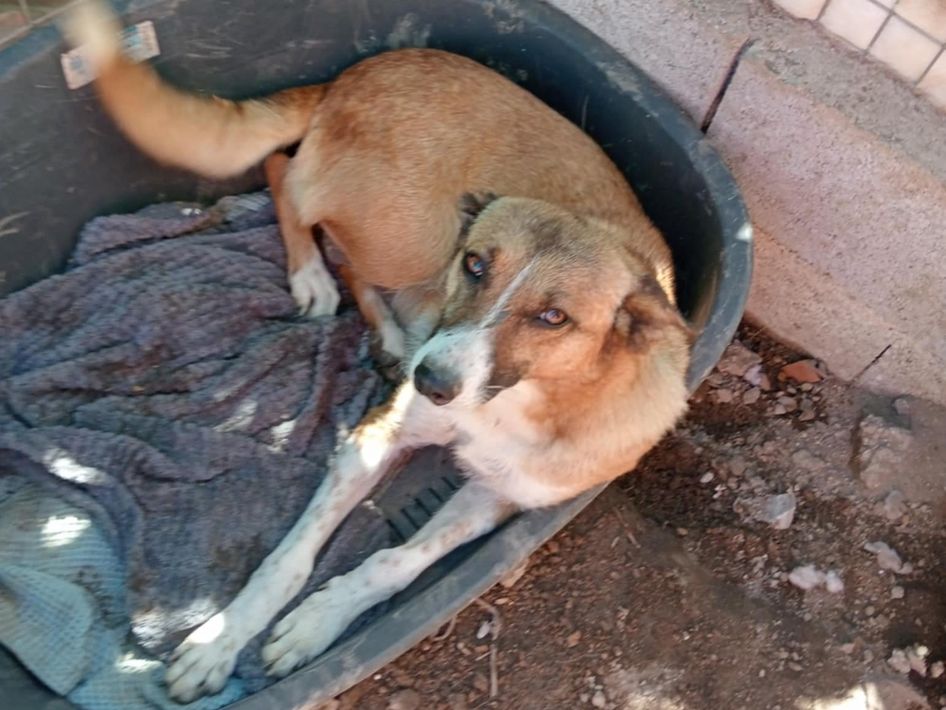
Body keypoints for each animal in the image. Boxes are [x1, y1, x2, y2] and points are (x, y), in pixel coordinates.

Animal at [64, 1, 692, 702]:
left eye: (553, 318)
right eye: (476, 265)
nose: (432, 382)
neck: (513, 406)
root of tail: (357, 73)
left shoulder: (498, 496)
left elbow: (397, 560)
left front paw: (318, 620)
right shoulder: (375, 436)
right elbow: (288, 557)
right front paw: (220, 639)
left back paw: (385, 330)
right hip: (415, 235)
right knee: (285, 176)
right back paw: (316, 279)